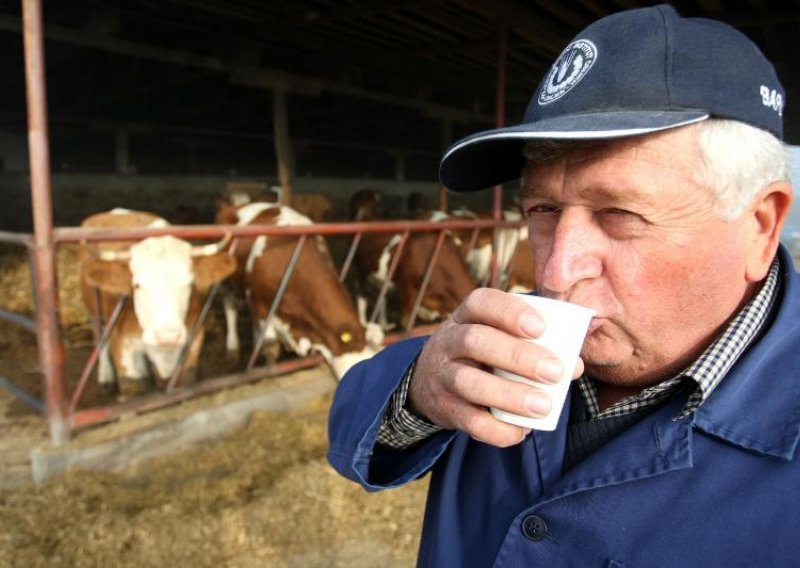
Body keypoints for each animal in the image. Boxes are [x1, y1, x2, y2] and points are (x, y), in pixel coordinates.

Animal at [79, 209, 236, 400]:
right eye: (137, 285)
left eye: (189, 283)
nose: (167, 336)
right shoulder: (121, 345)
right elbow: (132, 387)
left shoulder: (194, 340)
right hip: (92, 310)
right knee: (98, 337)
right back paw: (105, 377)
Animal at [212, 200, 382, 378]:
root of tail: (235, 206)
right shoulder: (259, 302)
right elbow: (271, 347)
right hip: (225, 281)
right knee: (230, 307)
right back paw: (232, 346)